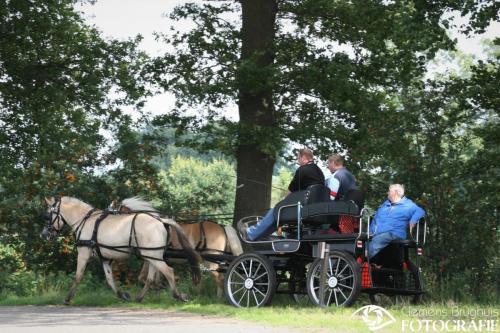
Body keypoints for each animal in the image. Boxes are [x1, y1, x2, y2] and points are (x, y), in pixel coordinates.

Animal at [41, 197, 201, 304]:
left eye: (48, 216)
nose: (44, 235)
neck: (86, 221)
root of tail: (161, 220)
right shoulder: (105, 258)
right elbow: (110, 280)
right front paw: (123, 295)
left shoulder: (84, 253)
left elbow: (78, 276)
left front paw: (67, 298)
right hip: (152, 255)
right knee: (151, 277)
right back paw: (140, 298)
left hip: (152, 255)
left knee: (168, 272)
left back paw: (178, 296)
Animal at [115, 197, 244, 296]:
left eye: (117, 213)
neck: (148, 225)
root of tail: (222, 227)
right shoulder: (153, 257)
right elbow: (146, 277)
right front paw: (158, 293)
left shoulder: (153, 257)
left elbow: (148, 277)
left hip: (210, 261)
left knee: (220, 279)